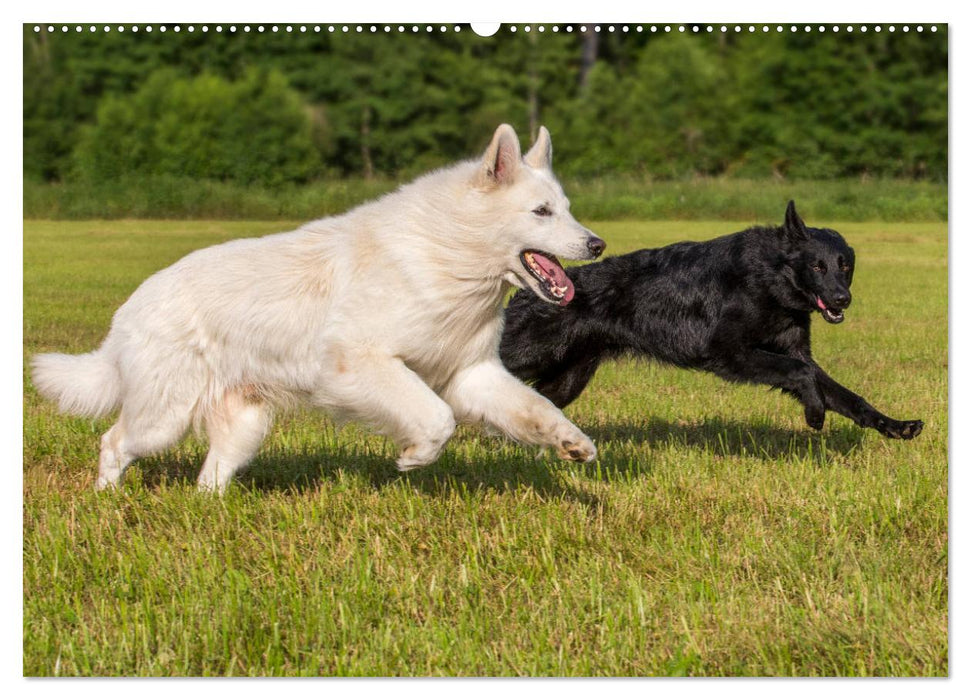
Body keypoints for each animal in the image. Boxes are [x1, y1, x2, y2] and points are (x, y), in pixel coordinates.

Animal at [32, 123, 608, 492]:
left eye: (568, 210)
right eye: (542, 212)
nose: (598, 244)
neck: (448, 252)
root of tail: (129, 310)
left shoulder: (471, 373)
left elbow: (538, 409)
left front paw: (572, 443)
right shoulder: (360, 363)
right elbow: (438, 419)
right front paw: (414, 457)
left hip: (243, 428)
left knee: (207, 477)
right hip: (162, 418)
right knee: (113, 442)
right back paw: (108, 501)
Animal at [504, 202, 924, 440]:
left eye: (844, 266)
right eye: (817, 266)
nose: (842, 300)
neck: (769, 278)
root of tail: (528, 290)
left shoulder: (793, 352)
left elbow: (848, 396)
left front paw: (894, 426)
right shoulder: (730, 352)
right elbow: (805, 378)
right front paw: (814, 413)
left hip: (568, 379)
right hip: (529, 356)